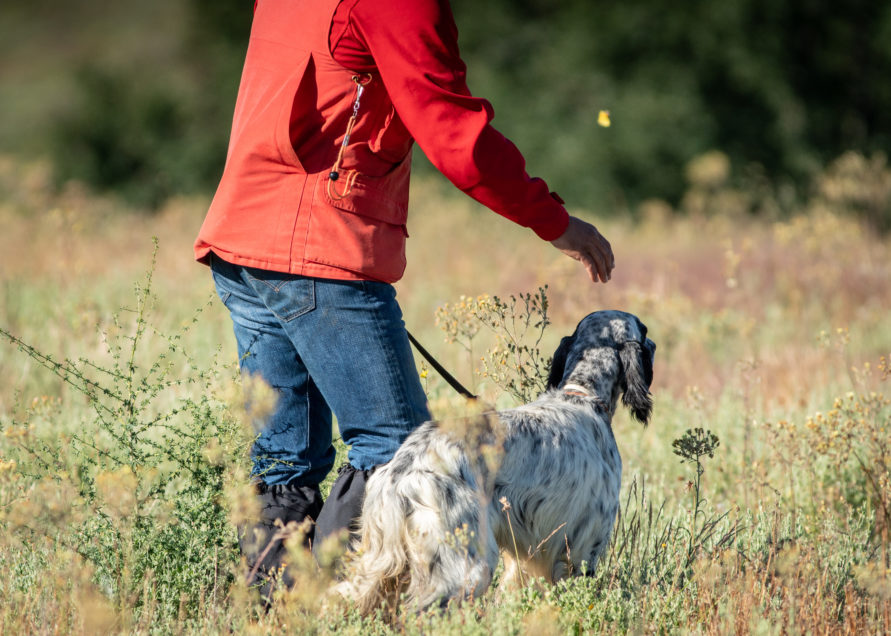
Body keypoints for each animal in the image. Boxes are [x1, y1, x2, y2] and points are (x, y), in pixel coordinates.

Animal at [334, 310, 656, 612]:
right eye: (644, 330)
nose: (653, 344)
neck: (582, 396)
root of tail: (401, 472)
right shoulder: (584, 545)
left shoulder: (527, 552)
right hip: (467, 564)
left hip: (379, 558)